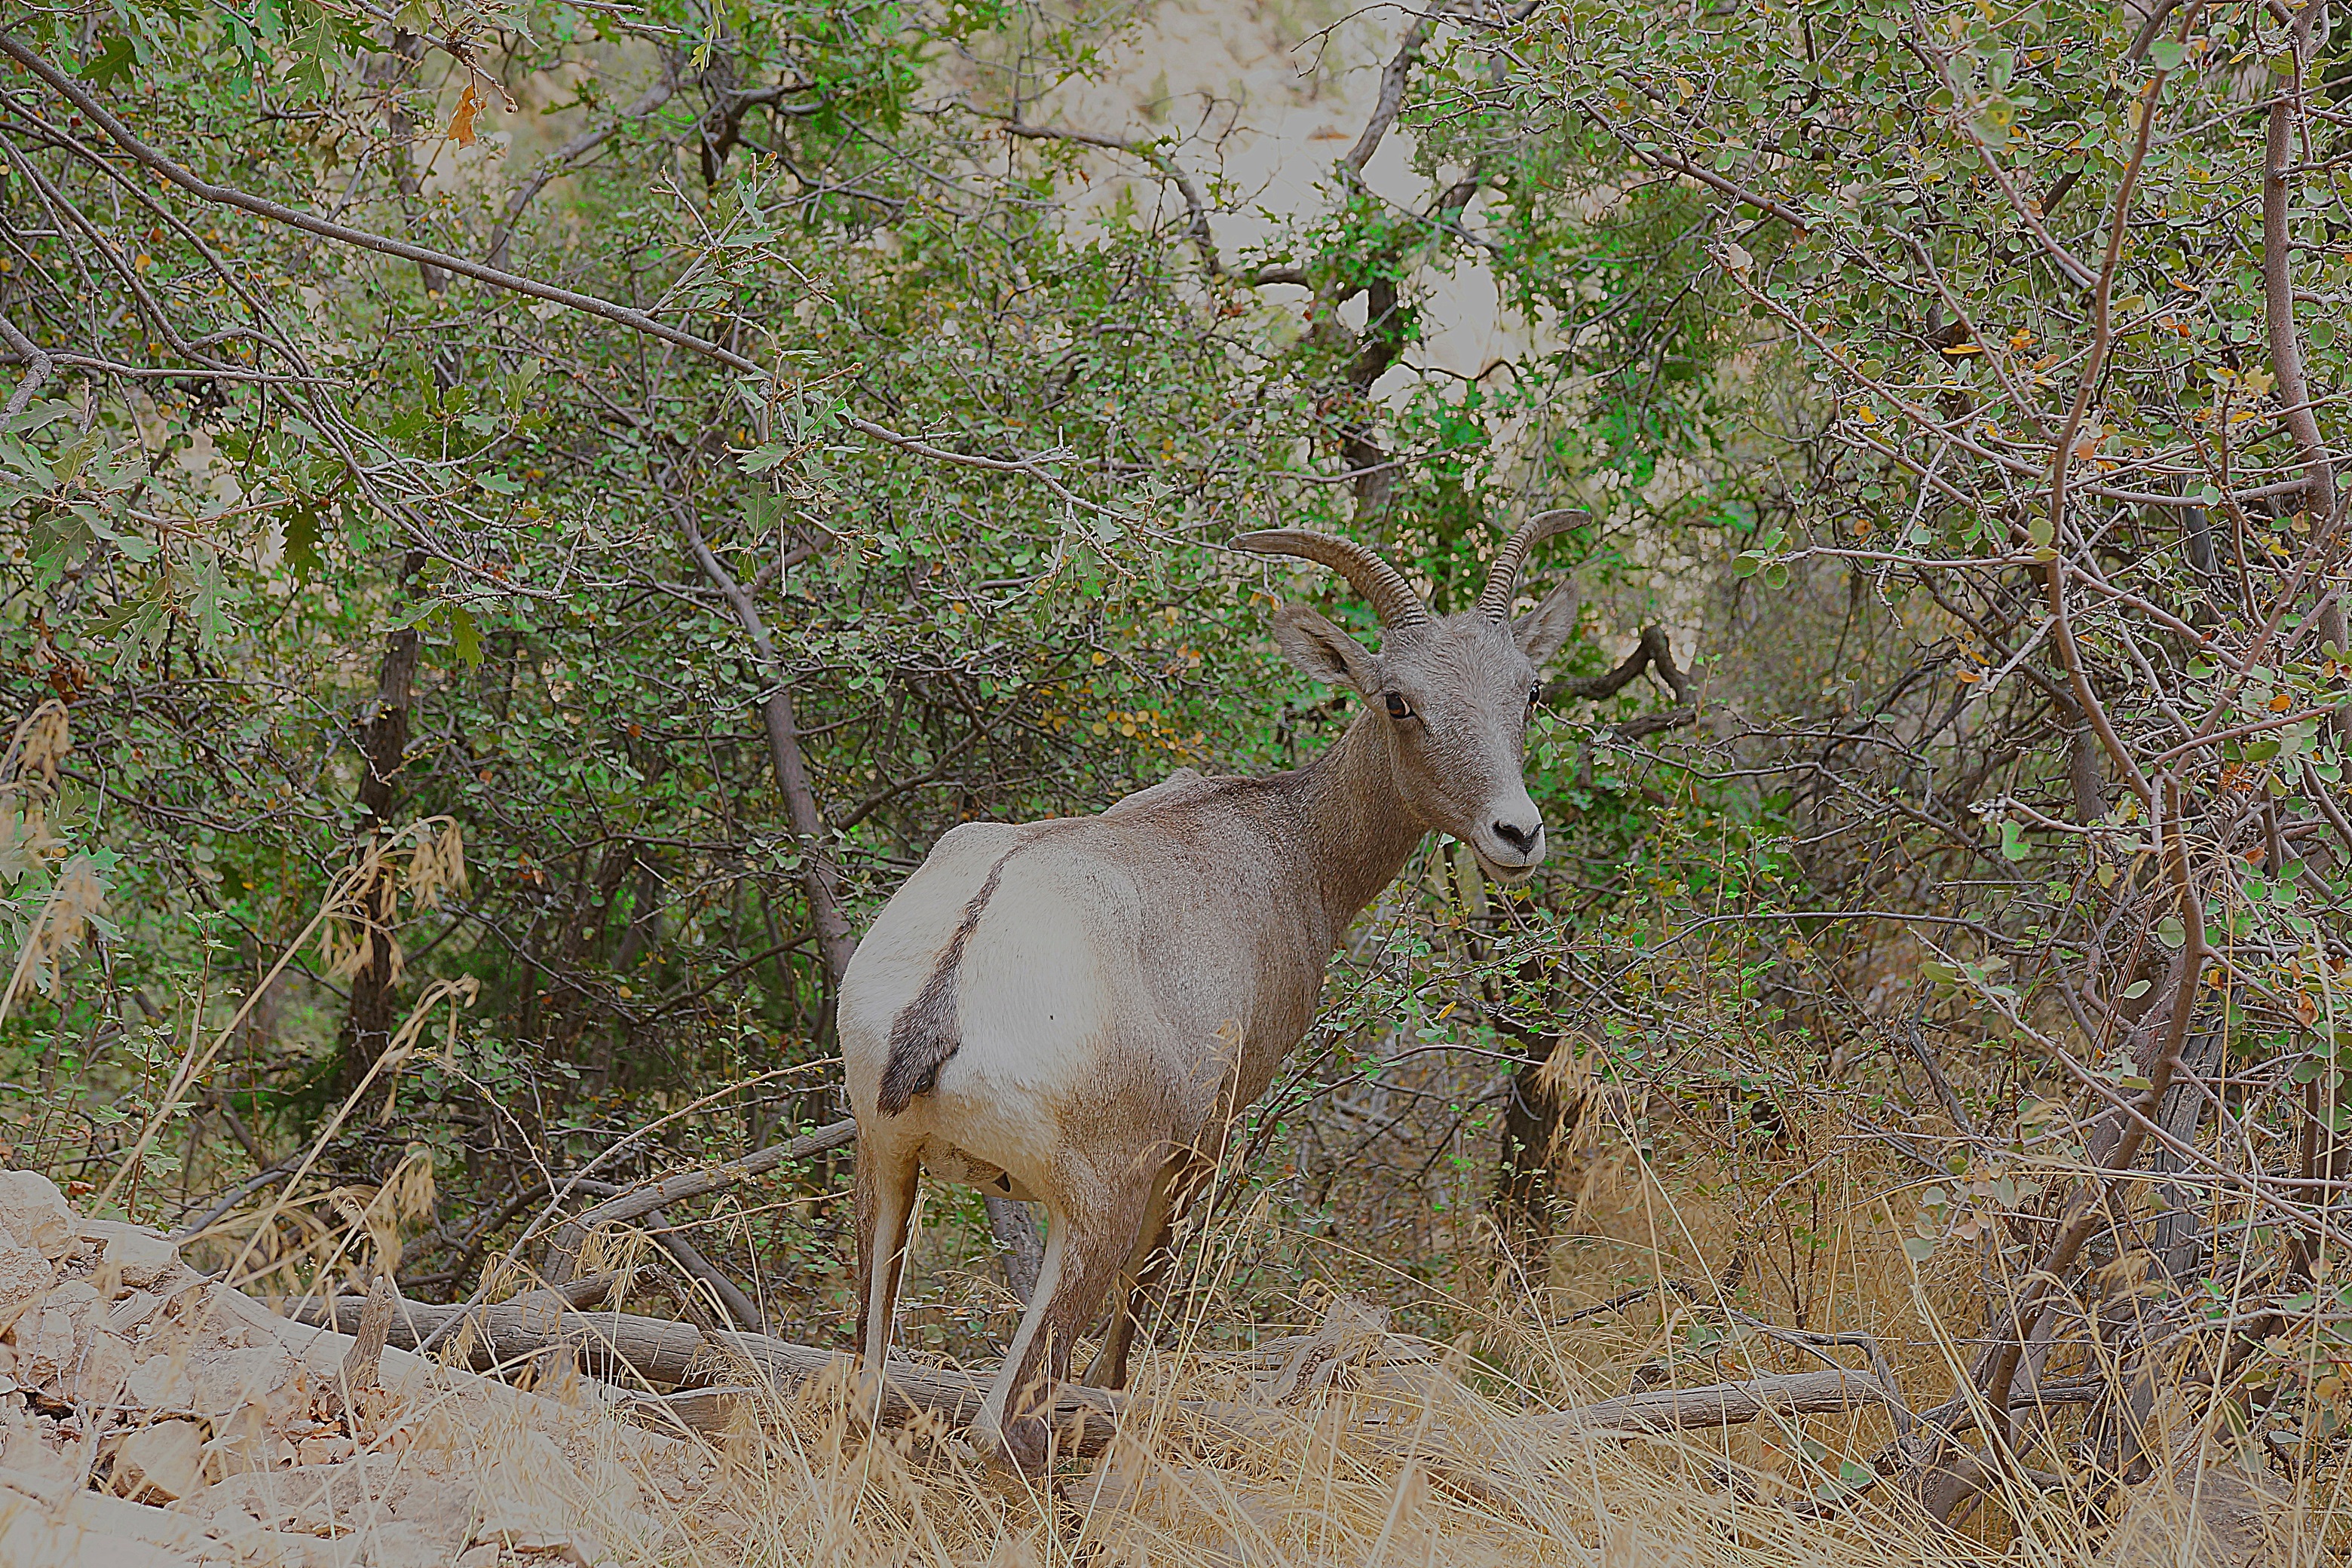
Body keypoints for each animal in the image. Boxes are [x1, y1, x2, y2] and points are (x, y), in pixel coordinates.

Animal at [847, 514, 1580, 1476]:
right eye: (1397, 699)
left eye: (1529, 690)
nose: (1516, 834)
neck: (1282, 846)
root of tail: (952, 981)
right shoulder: (1200, 1149)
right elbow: (1134, 1327)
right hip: (1093, 1214)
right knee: (1011, 1421)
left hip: (886, 1171)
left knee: (861, 1390)